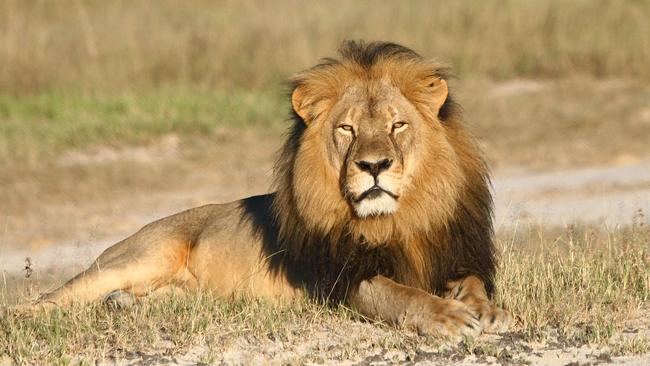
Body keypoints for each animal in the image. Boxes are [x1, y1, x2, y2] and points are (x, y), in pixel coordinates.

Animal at [26, 40, 512, 340]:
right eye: (347, 129)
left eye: (398, 126)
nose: (373, 166)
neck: (398, 220)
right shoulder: (342, 280)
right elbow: (400, 294)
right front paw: (448, 317)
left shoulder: (456, 253)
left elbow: (472, 282)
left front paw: (486, 310)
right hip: (139, 256)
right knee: (50, 299)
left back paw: (124, 306)